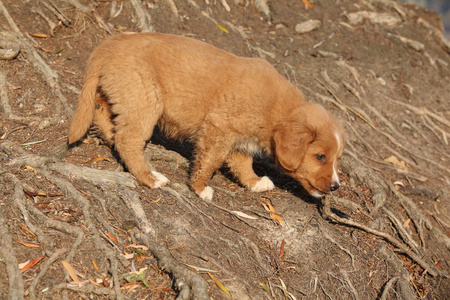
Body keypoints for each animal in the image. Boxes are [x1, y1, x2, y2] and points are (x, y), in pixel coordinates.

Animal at [67, 32, 344, 200]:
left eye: (335, 159)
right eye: (320, 156)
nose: (336, 186)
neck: (277, 110)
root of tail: (111, 43)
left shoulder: (237, 139)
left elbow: (242, 163)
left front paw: (254, 182)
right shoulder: (218, 129)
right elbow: (210, 161)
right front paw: (200, 188)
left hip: (122, 94)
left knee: (103, 112)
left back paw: (110, 137)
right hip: (145, 101)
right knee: (129, 140)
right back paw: (150, 178)